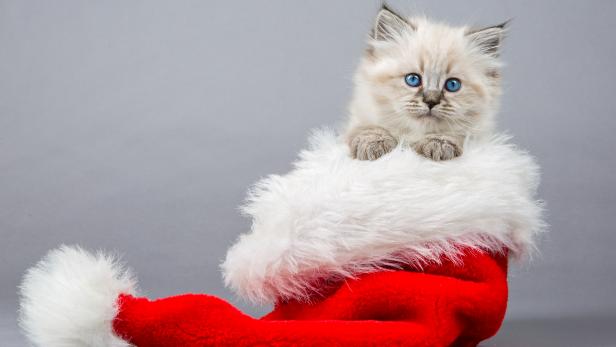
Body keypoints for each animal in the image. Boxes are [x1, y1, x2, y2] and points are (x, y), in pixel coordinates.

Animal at [346, 4, 506, 162]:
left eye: (452, 85)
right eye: (413, 79)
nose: (431, 101)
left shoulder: (477, 136)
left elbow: (451, 133)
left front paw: (438, 144)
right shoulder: (358, 119)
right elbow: (368, 128)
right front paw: (374, 144)